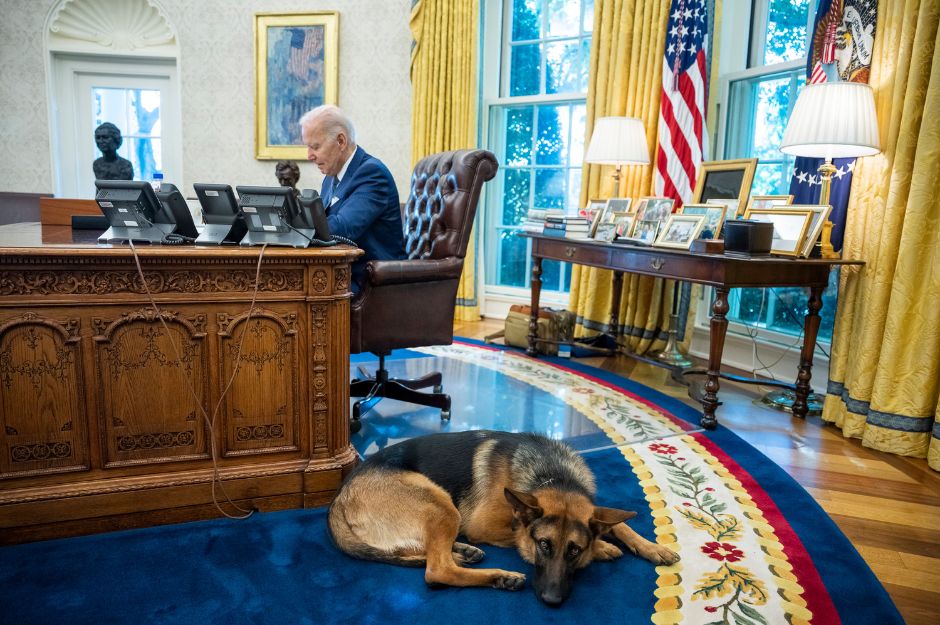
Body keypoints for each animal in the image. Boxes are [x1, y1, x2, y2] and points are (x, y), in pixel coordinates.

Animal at [326, 432, 680, 604]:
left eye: (573, 551)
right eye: (544, 545)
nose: (551, 600)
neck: (552, 475)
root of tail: (338, 501)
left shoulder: (593, 509)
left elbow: (621, 522)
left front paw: (653, 547)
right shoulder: (486, 524)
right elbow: (520, 534)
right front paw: (603, 548)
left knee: (424, 554)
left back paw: (463, 552)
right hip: (443, 506)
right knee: (437, 570)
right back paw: (499, 576)